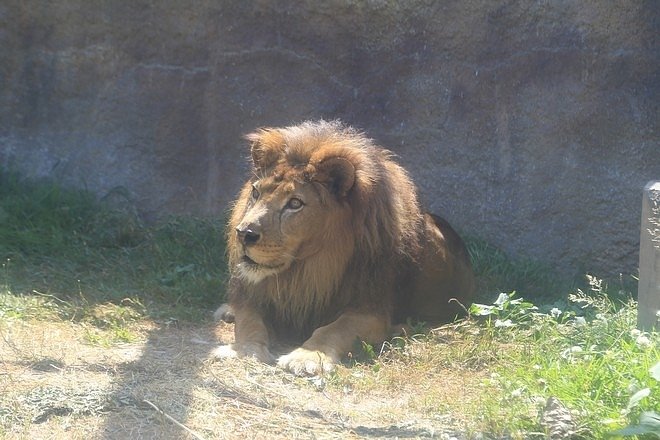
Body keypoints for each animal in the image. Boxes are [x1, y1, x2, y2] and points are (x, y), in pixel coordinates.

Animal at [213, 120, 474, 374]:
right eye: (256, 192)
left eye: (295, 203)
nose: (243, 234)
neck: (303, 271)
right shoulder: (255, 297)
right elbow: (249, 323)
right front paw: (245, 350)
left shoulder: (370, 309)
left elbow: (333, 329)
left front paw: (306, 357)